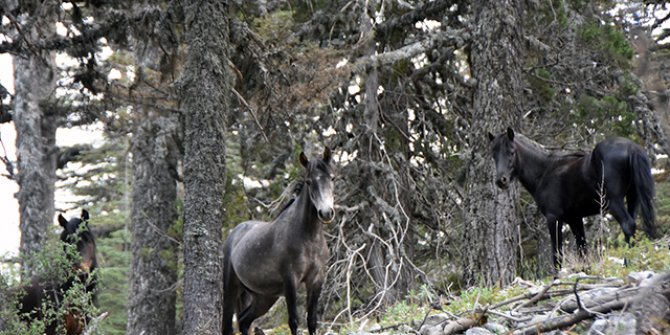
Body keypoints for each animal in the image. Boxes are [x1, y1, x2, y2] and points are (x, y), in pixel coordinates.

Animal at [223, 148, 336, 335]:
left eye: (332, 178)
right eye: (309, 182)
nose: (326, 213)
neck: (309, 239)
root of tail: (234, 234)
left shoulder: (316, 280)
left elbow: (312, 320)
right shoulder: (290, 281)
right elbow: (294, 321)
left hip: (265, 297)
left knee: (244, 320)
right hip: (231, 289)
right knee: (229, 325)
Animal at [488, 129, 656, 270]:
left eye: (511, 152)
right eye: (494, 155)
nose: (501, 181)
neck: (545, 171)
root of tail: (631, 147)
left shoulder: (553, 219)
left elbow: (557, 254)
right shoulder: (575, 219)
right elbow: (582, 249)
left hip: (614, 202)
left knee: (628, 225)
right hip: (633, 199)